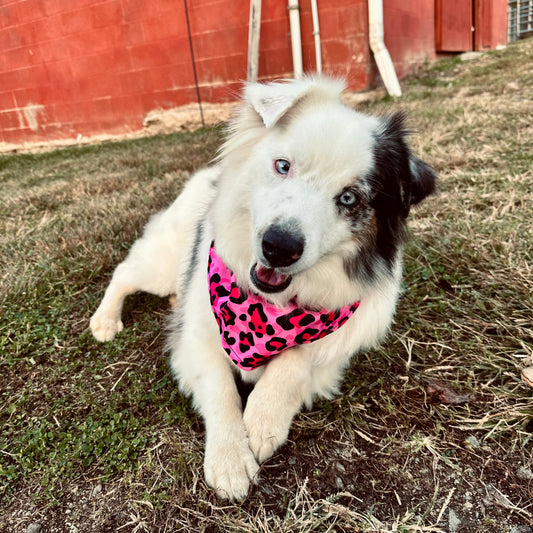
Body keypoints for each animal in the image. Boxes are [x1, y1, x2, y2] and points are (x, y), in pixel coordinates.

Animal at [89, 75, 434, 498]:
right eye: (282, 166)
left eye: (349, 197)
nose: (279, 247)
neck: (268, 307)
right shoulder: (197, 339)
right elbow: (220, 389)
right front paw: (230, 458)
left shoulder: (337, 343)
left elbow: (297, 359)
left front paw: (261, 422)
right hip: (162, 262)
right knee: (125, 272)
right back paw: (106, 321)